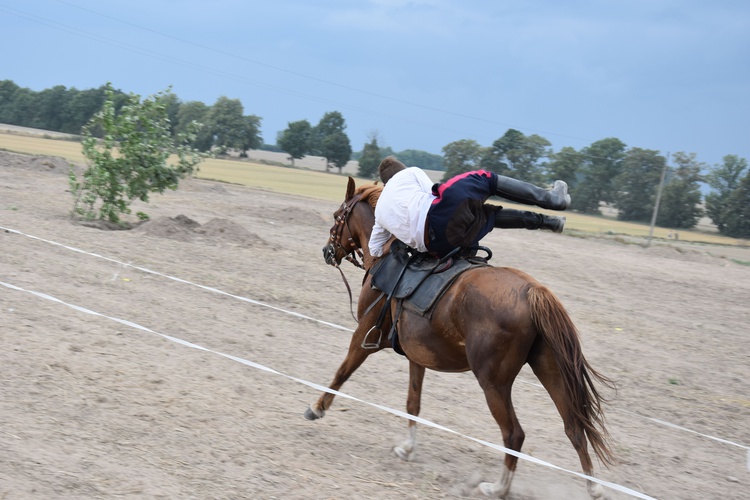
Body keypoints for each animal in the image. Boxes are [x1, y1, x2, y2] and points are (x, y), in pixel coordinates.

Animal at [306, 178, 616, 498]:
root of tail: (533, 291)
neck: (384, 256)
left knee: (514, 435)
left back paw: (498, 488)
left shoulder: (365, 337)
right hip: (549, 368)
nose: (327, 251)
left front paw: (317, 408)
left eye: (336, 216)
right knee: (574, 428)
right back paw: (594, 488)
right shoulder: (416, 355)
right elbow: (413, 403)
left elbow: (342, 372)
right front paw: (407, 448)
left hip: (493, 383)